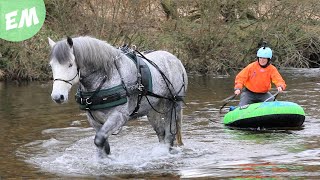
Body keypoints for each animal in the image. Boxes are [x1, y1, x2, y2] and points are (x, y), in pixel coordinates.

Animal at [47, 35, 188, 155]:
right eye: (51, 65)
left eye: (70, 64)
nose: (57, 96)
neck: (107, 76)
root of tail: (175, 59)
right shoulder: (94, 120)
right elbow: (103, 146)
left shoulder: (119, 116)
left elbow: (99, 140)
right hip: (152, 110)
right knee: (161, 133)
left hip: (173, 105)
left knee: (170, 135)